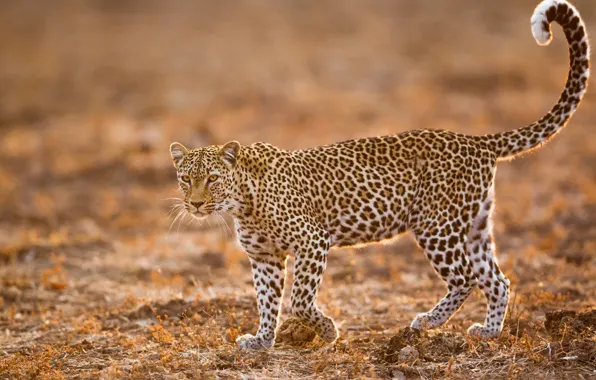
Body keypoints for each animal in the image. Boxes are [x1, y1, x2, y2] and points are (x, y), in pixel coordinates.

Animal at [169, 0, 592, 350]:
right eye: (186, 179)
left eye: (212, 178)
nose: (196, 204)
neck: (243, 202)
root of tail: (476, 141)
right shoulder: (264, 258)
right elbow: (267, 301)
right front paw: (261, 340)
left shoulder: (312, 242)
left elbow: (300, 299)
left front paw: (326, 330)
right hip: (473, 226)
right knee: (496, 280)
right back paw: (488, 332)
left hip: (436, 226)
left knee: (465, 278)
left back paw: (426, 323)